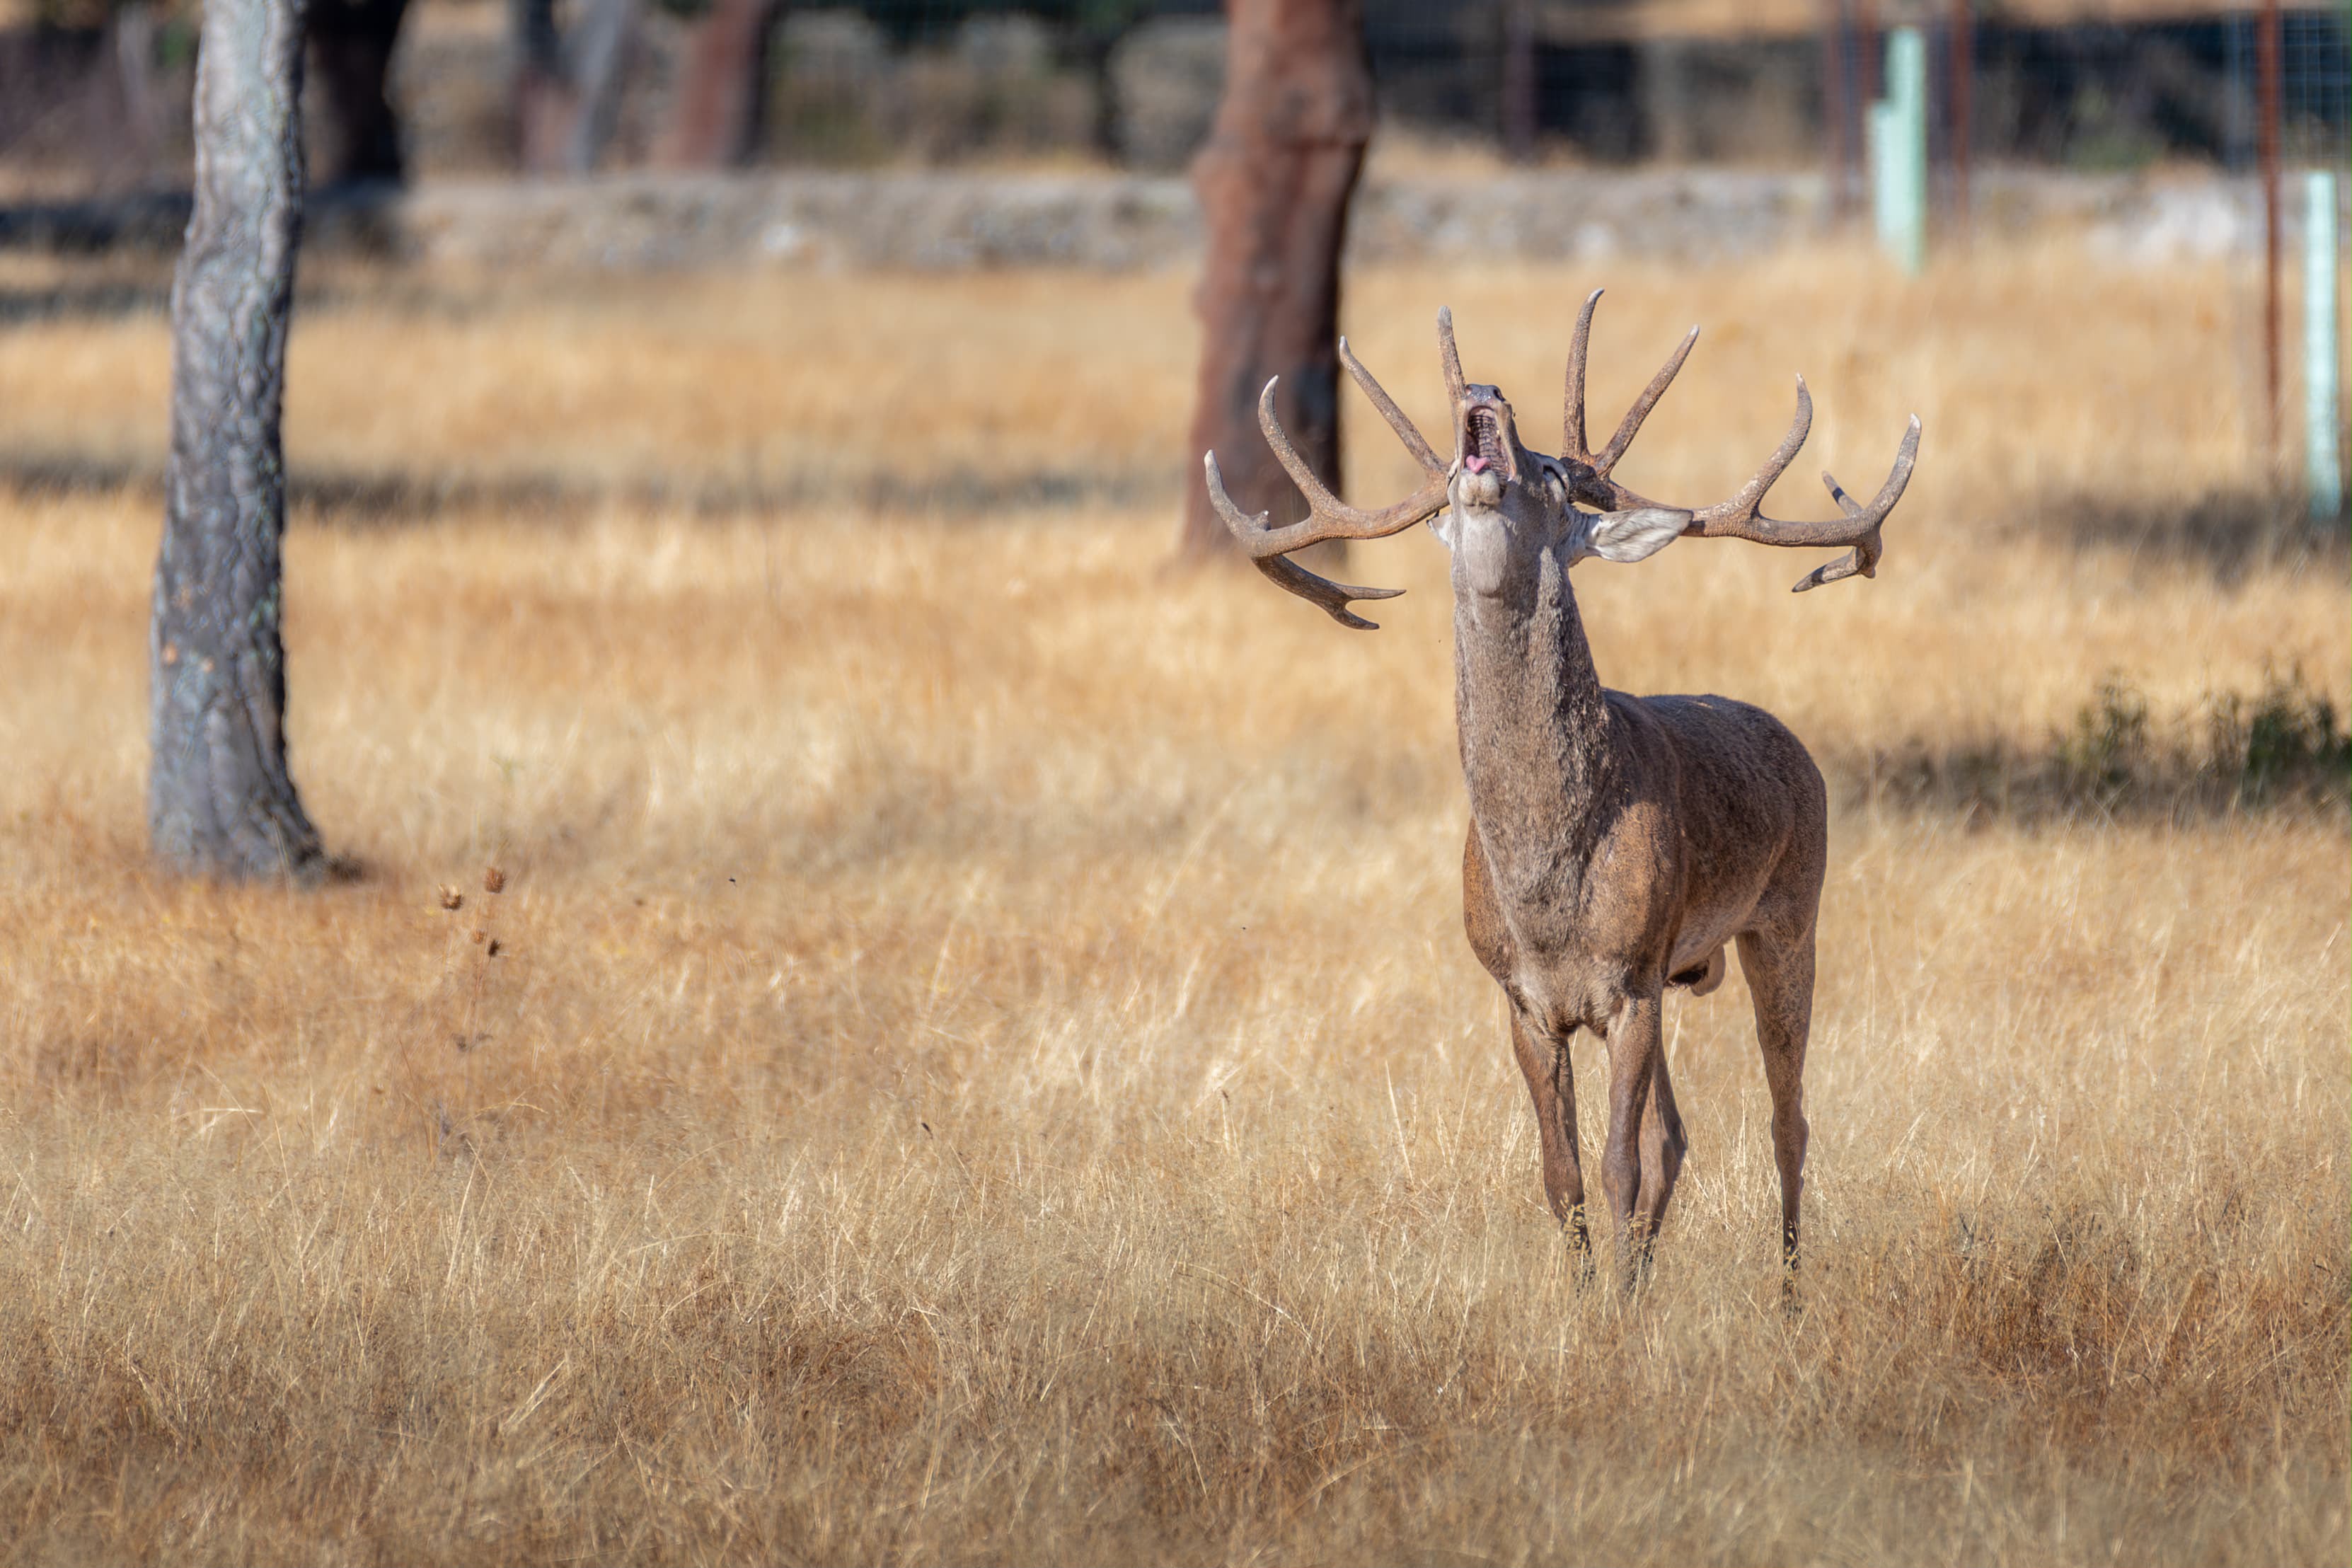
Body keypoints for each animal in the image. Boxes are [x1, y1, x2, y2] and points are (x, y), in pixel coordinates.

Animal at [1204, 295, 1918, 1284]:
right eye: (1449, 474)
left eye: (1549, 471)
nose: (1484, 389)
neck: (1549, 890)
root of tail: (1795, 743)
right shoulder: (1523, 996)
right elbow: (1563, 1172)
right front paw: (1590, 1297)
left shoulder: (1631, 981)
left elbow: (1617, 1165)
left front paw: (1613, 1310)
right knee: (1678, 1136)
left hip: (1789, 915)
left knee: (1788, 1120)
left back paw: (1787, 1291)